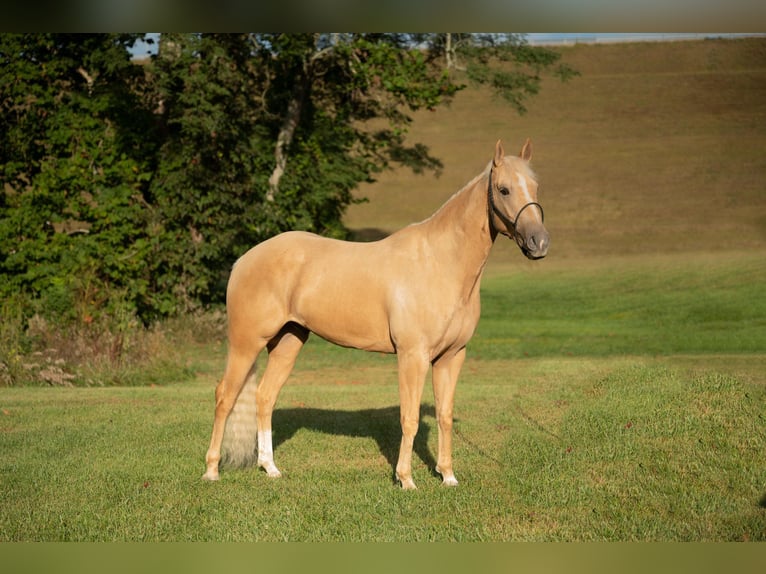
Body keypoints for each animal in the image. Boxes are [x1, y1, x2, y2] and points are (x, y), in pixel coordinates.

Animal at [204, 140, 548, 490]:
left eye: (535, 186)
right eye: (503, 189)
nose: (539, 242)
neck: (440, 263)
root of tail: (244, 259)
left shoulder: (452, 357)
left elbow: (445, 416)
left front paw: (448, 476)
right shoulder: (413, 356)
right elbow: (409, 418)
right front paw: (406, 479)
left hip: (288, 342)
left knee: (264, 397)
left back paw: (270, 467)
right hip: (246, 343)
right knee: (225, 396)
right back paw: (211, 470)